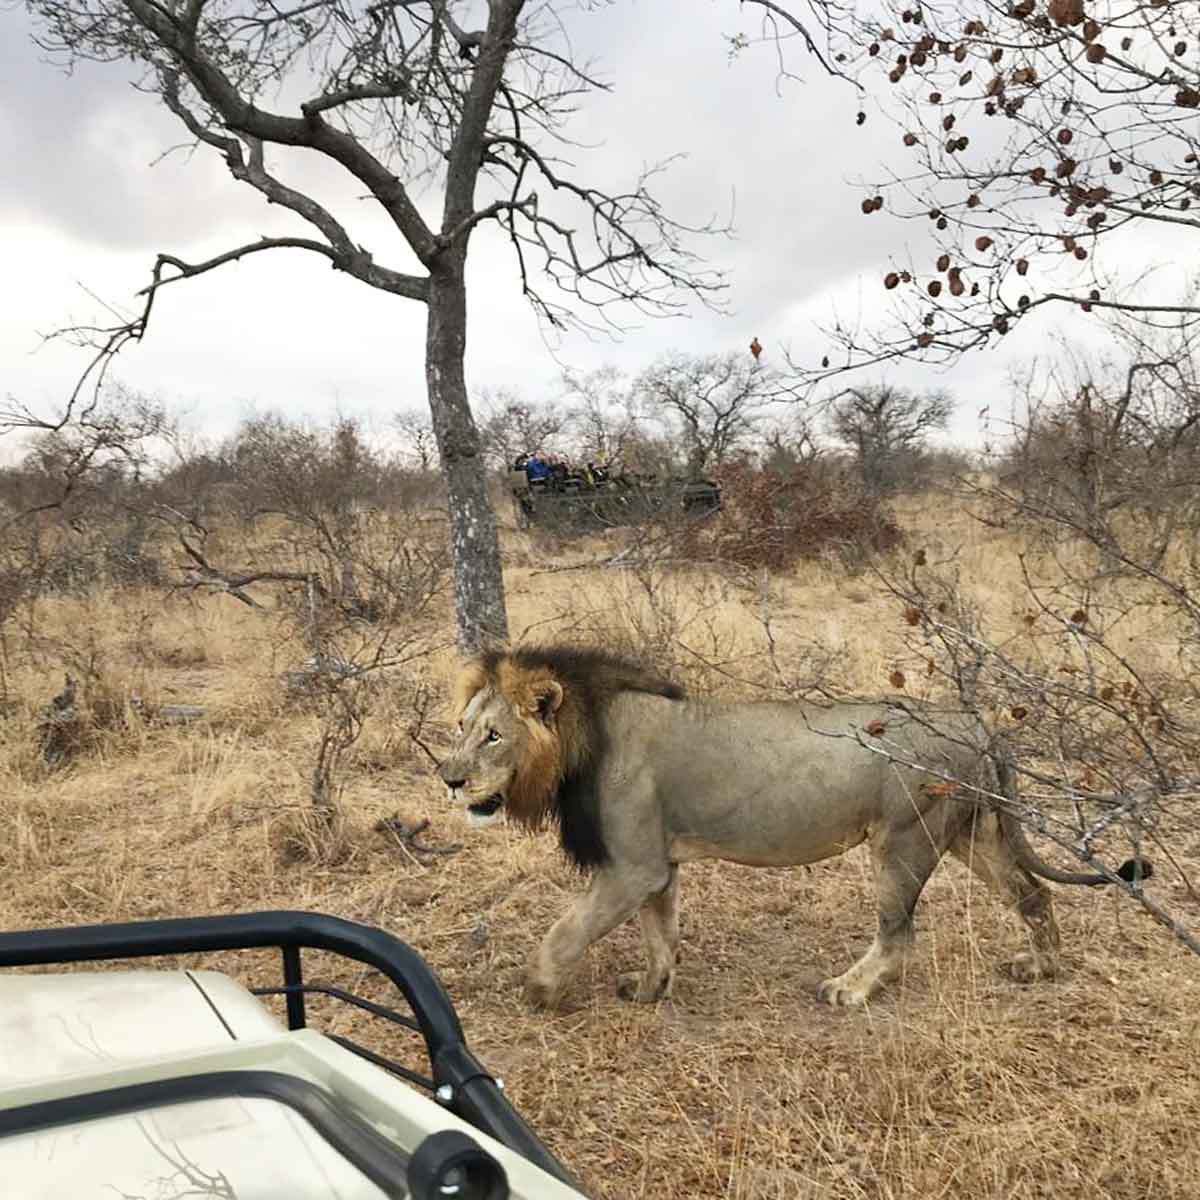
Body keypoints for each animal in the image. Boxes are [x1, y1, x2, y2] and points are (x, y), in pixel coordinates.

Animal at [438, 644, 1149, 1010]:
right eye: (462, 727)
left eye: (494, 736)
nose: (449, 778)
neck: (581, 738)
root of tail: (978, 723)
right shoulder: (656, 867)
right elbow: (660, 935)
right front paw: (649, 988)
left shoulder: (632, 866)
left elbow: (566, 930)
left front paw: (539, 989)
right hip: (974, 831)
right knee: (1034, 893)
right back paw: (1042, 967)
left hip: (904, 839)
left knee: (899, 933)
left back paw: (849, 990)